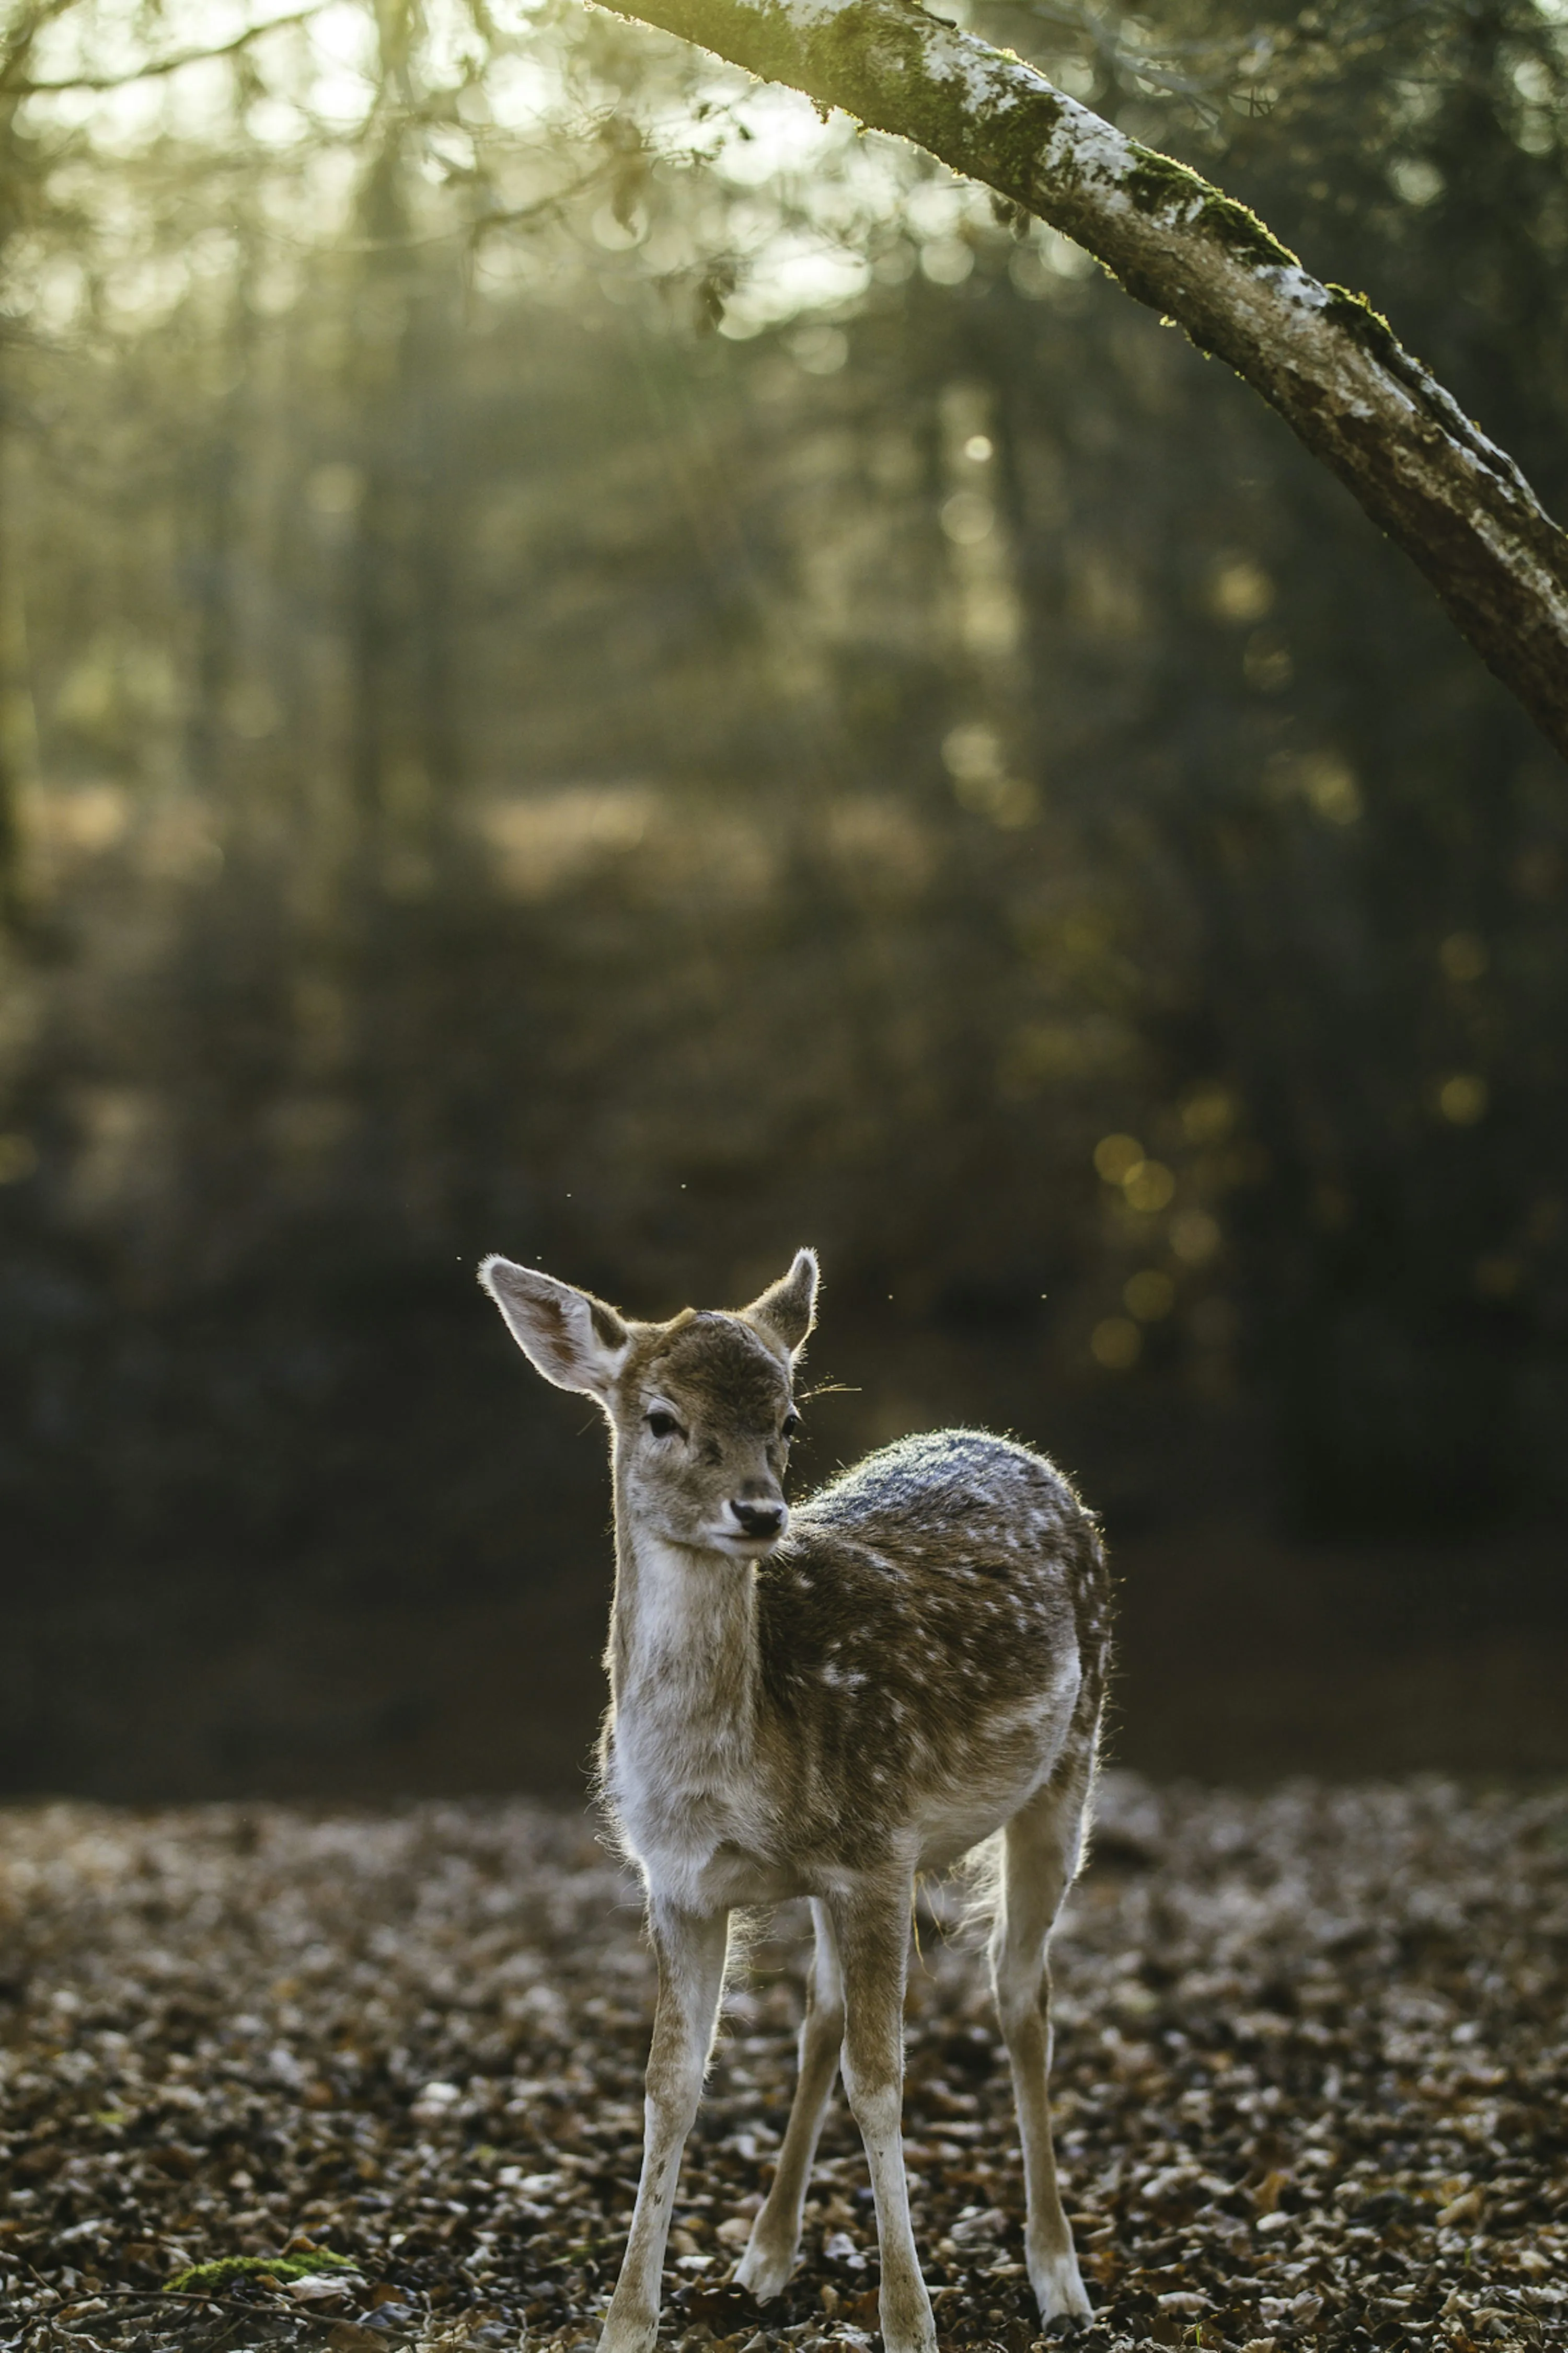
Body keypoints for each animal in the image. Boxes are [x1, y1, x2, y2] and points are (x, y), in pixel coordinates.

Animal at [479, 1247, 1110, 2353]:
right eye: (661, 1416)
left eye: (789, 1420)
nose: (762, 1511)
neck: (730, 1776)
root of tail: (1020, 1451)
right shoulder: (679, 1884)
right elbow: (671, 2084)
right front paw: (627, 2322)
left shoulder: (880, 1848)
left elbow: (882, 2080)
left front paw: (911, 2322)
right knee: (821, 2013)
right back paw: (766, 2256)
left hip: (1070, 1766)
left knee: (1020, 1995)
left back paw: (1059, 2276)